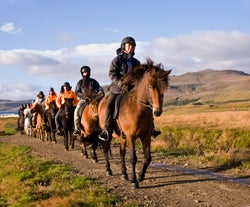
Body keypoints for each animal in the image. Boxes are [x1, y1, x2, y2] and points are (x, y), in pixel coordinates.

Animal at [97, 58, 172, 189]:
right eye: (151, 86)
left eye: (164, 88)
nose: (157, 111)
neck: (138, 109)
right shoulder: (131, 137)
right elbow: (133, 158)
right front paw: (134, 181)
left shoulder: (146, 136)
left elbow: (147, 158)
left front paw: (141, 176)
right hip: (108, 134)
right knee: (106, 149)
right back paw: (108, 170)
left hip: (122, 137)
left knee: (121, 153)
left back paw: (124, 174)